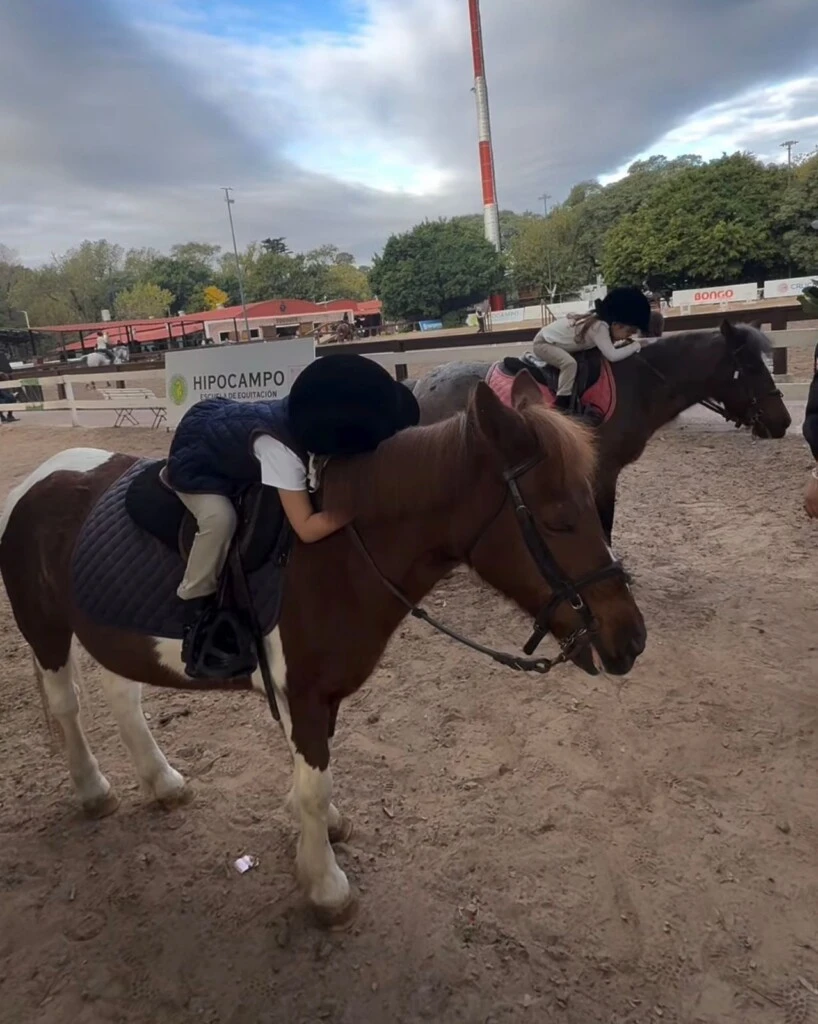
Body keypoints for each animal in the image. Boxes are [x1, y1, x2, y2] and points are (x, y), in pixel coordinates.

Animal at [0, 374, 646, 926]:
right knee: (66, 705)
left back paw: (162, 782)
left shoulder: (311, 694)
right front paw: (326, 886)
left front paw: (323, 834)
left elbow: (314, 777)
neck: (337, 555)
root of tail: (37, 481)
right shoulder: (306, 692)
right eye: (557, 518)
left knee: (122, 695)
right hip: (46, 628)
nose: (631, 637)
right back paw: (92, 790)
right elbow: (314, 787)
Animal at [413, 321, 792, 542]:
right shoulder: (603, 472)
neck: (638, 385)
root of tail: (422, 383)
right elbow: (604, 521)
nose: (783, 421)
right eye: (751, 366)